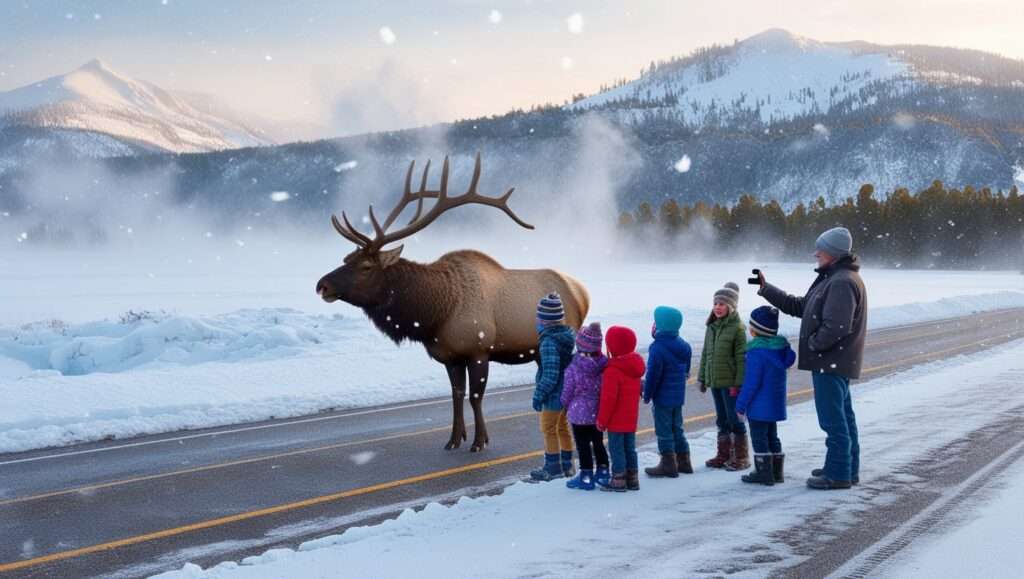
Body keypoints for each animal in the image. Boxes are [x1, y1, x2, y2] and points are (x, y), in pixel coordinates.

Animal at [317, 153, 593, 450]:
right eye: (346, 258)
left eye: (366, 266)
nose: (322, 285)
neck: (436, 314)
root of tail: (582, 291)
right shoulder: (450, 356)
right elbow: (456, 395)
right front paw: (454, 439)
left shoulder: (479, 350)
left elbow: (475, 396)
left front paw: (479, 441)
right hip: (540, 351)